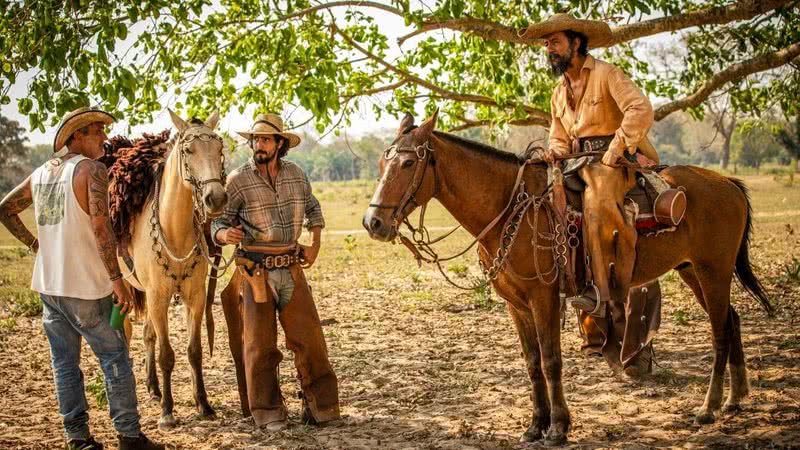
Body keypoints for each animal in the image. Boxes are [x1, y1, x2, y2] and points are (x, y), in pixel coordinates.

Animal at [123, 110, 228, 428]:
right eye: (188, 150)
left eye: (219, 149)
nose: (216, 198)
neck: (175, 231)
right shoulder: (158, 298)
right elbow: (167, 355)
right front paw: (167, 412)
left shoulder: (194, 298)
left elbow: (194, 352)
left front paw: (203, 404)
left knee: (148, 335)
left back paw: (154, 388)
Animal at [364, 111, 776, 442]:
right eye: (383, 163)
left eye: (406, 164)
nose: (373, 222)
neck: (508, 207)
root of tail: (727, 184)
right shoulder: (516, 304)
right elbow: (532, 363)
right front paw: (535, 425)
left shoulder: (543, 297)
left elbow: (550, 361)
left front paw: (559, 427)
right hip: (693, 271)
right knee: (732, 320)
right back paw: (735, 399)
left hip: (713, 271)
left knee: (720, 330)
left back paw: (709, 407)